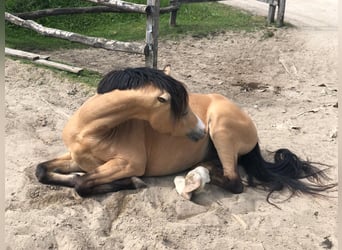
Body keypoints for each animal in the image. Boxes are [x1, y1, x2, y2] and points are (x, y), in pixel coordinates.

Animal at [36, 65, 336, 203]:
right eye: (180, 110)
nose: (201, 130)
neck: (93, 130)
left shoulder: (129, 163)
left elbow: (82, 184)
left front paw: (132, 183)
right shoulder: (76, 157)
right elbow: (42, 171)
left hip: (221, 130)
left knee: (235, 181)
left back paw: (199, 177)